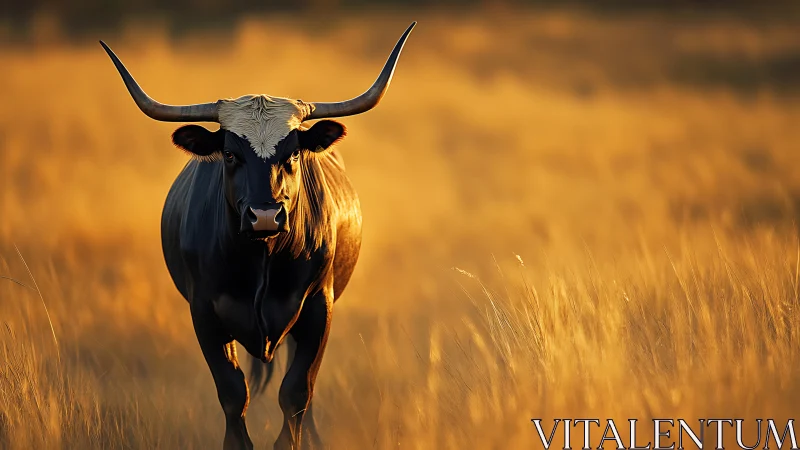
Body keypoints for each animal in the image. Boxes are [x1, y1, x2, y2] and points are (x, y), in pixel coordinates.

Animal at [100, 22, 415, 450]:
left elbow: (296, 392)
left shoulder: (318, 307)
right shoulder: (205, 312)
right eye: (231, 154)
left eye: (293, 153)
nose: (265, 215)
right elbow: (234, 394)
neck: (262, 261)